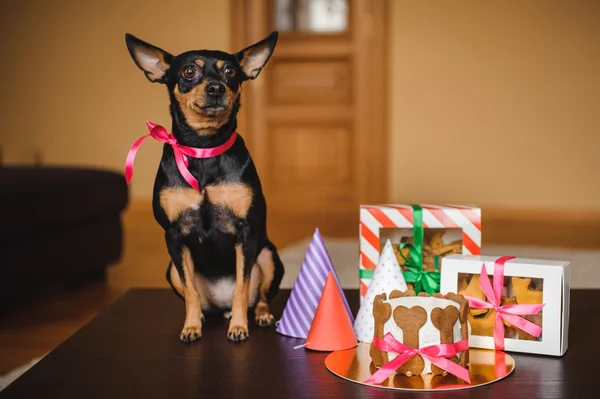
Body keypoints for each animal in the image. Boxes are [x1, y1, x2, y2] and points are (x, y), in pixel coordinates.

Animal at [124, 32, 284, 344]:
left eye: (230, 71)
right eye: (189, 72)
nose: (215, 88)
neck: (203, 149)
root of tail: (220, 307)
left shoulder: (246, 233)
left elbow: (242, 286)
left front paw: (239, 327)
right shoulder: (174, 235)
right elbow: (191, 292)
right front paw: (190, 327)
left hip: (268, 255)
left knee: (258, 295)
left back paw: (258, 315)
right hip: (172, 269)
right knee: (197, 296)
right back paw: (200, 318)